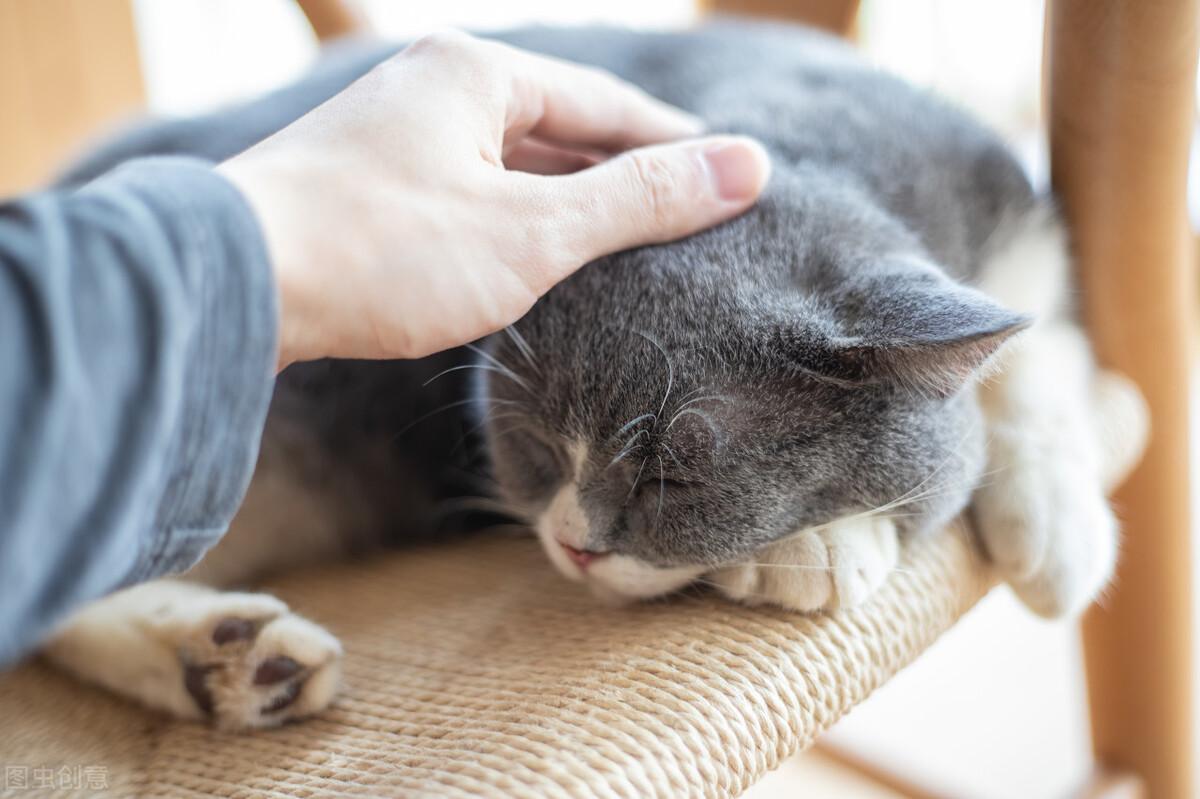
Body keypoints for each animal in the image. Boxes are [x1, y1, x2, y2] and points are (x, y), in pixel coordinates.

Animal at [39, 20, 1142, 729]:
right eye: (532, 447)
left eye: (672, 476)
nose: (571, 546)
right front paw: (812, 547)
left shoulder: (1025, 246)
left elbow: (1041, 352)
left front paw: (1055, 532)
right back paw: (227, 655)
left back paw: (225, 659)